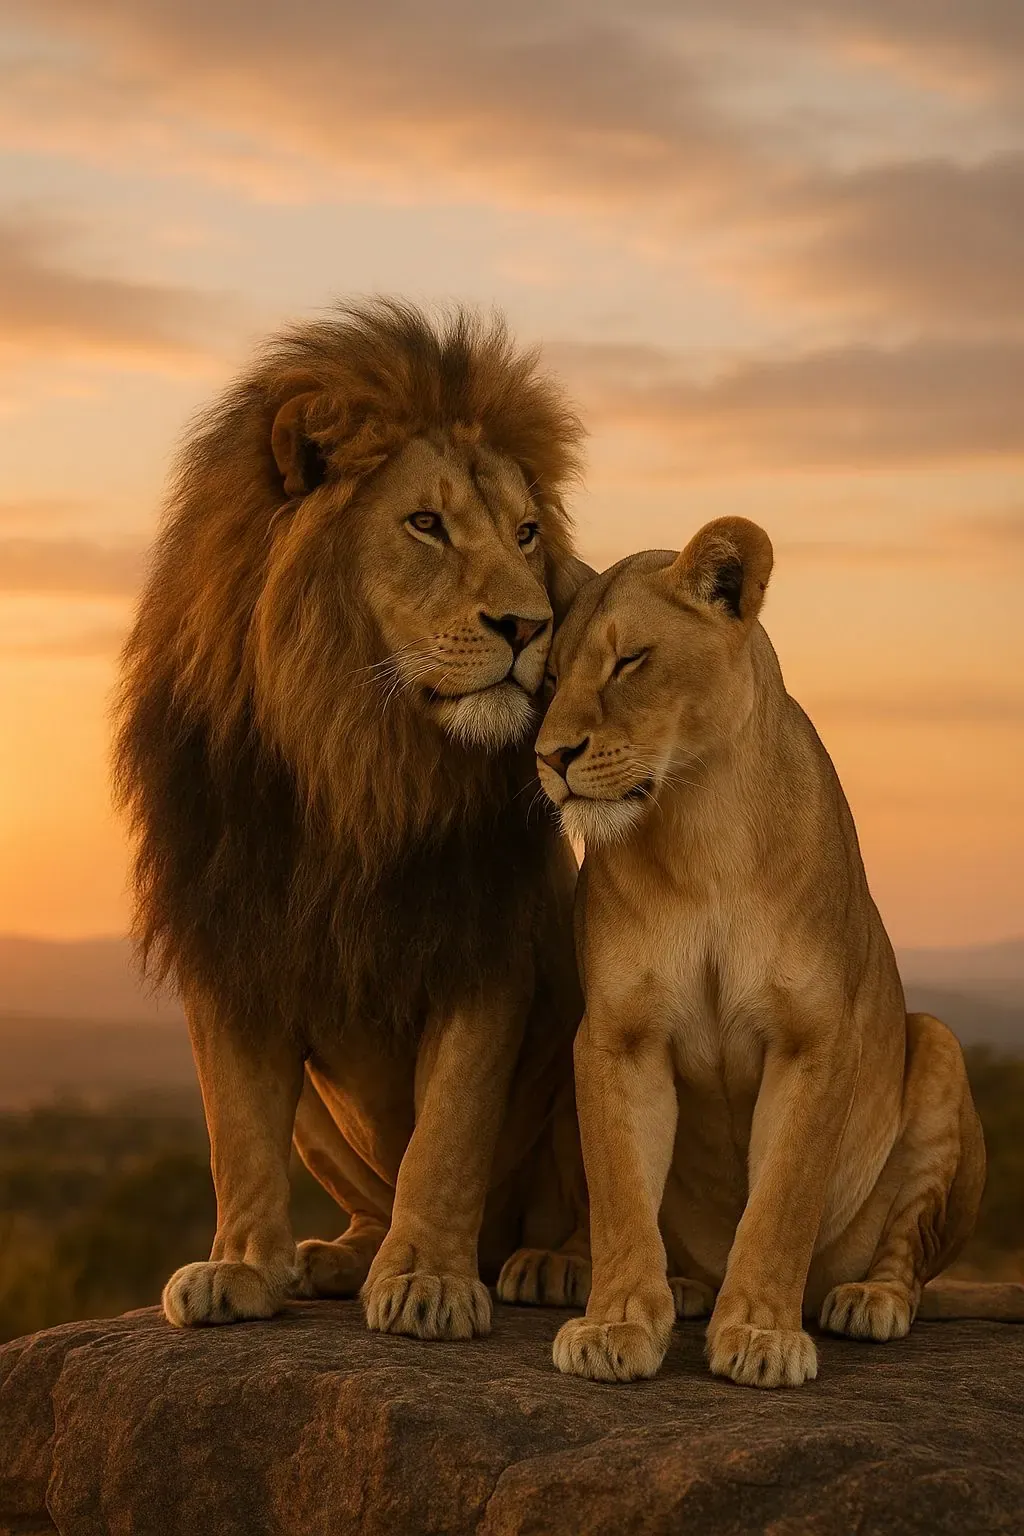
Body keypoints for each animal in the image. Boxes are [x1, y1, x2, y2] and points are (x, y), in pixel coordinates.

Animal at [113, 300, 593, 1340]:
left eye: (527, 533)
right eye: (426, 524)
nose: (532, 627)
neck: (357, 750)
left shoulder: (481, 945)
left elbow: (447, 1131)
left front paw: (426, 1280)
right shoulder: (232, 936)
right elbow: (236, 1131)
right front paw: (239, 1266)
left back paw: (552, 1265)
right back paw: (336, 1256)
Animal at [532, 516, 1023, 1387]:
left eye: (630, 661)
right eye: (551, 675)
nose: (550, 757)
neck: (699, 823)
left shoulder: (813, 1037)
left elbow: (782, 1201)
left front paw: (762, 1332)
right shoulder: (616, 1036)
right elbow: (620, 1191)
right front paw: (617, 1321)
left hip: (936, 1047)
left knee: (908, 1256)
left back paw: (867, 1301)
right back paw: (637, 1278)